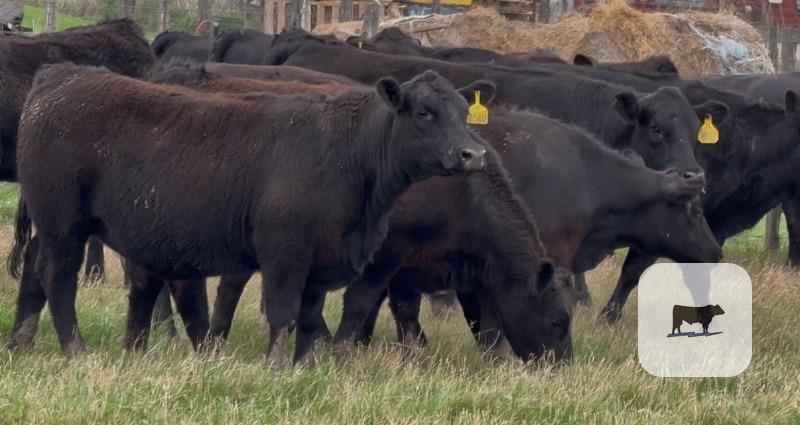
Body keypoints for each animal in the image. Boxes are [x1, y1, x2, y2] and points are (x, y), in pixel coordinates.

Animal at [10, 64, 487, 368]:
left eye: (465, 113)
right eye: (424, 112)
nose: (473, 154)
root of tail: (62, 77)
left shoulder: (320, 261)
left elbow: (309, 317)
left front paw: (305, 367)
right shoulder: (284, 253)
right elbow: (284, 312)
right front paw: (275, 367)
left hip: (54, 225)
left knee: (34, 270)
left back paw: (21, 342)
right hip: (63, 222)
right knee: (57, 277)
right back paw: (75, 350)